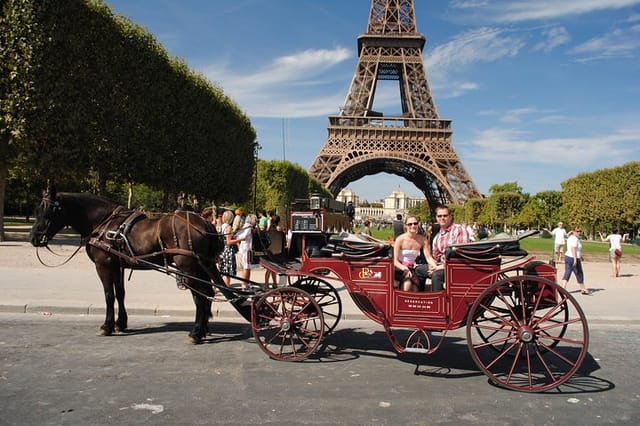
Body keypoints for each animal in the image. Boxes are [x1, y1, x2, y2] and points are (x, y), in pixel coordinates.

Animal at [30, 188, 225, 344]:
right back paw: (203, 328)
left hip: (188, 267)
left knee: (200, 296)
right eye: (37, 210)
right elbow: (120, 293)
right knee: (208, 292)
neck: (104, 222)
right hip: (203, 265)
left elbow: (109, 295)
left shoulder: (103, 265)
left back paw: (196, 333)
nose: (34, 237)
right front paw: (121, 323)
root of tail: (205, 222)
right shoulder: (117, 265)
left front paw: (107, 326)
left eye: (48, 211)